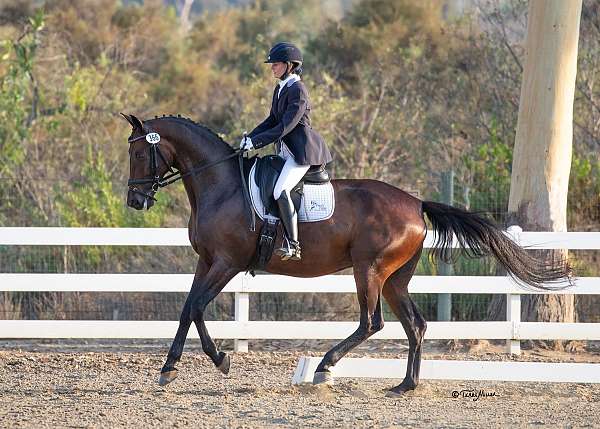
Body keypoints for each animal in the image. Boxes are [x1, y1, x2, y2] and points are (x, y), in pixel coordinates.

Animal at [123, 113, 572, 394]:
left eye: (138, 153)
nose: (135, 201)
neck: (221, 186)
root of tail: (416, 203)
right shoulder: (206, 261)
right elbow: (187, 307)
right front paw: (168, 368)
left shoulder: (227, 263)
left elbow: (198, 306)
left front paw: (220, 360)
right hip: (394, 279)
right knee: (415, 324)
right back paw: (405, 385)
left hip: (368, 270)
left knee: (372, 323)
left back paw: (325, 366)